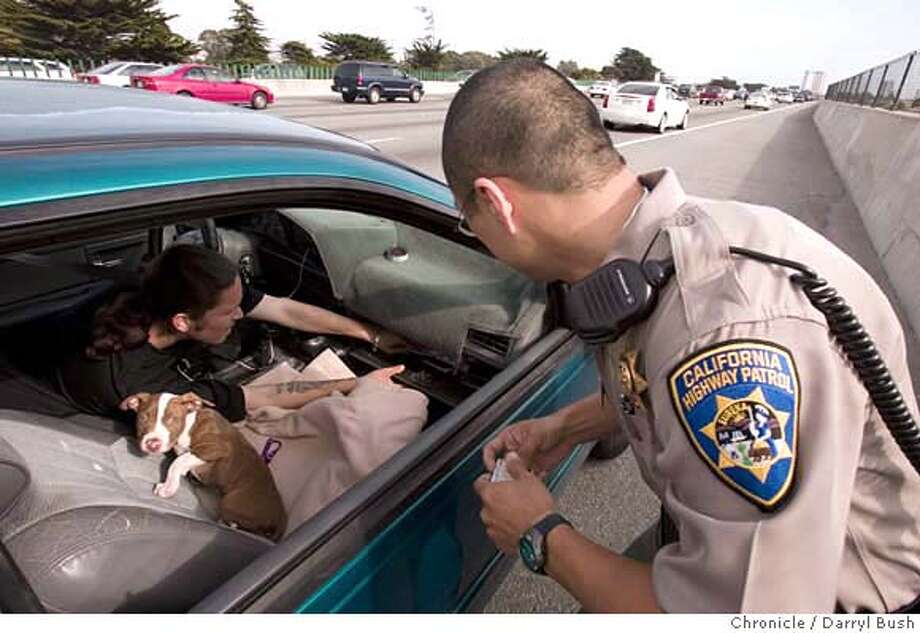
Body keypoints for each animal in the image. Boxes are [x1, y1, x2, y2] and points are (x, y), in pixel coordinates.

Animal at [122, 392, 286, 540]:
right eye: (143, 418)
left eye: (172, 419)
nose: (152, 443)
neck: (188, 424)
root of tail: (280, 519)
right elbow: (182, 459)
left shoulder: (216, 447)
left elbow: (178, 461)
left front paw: (168, 487)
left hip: (230, 502)